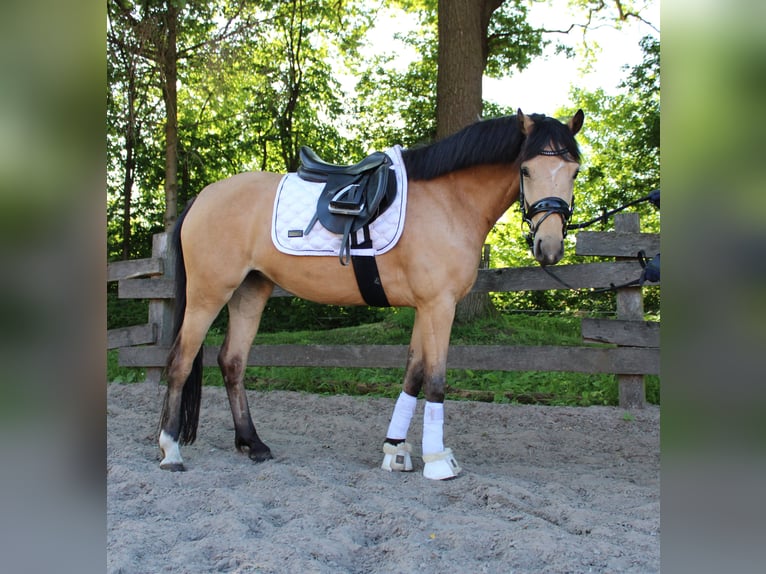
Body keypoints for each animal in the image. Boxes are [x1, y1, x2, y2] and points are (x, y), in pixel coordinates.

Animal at [159, 108, 584, 482]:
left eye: (575, 171)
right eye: (526, 170)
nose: (549, 247)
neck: (449, 200)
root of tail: (202, 198)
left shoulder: (425, 307)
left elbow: (413, 375)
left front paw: (396, 450)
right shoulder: (439, 306)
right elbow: (435, 380)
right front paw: (438, 461)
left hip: (250, 291)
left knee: (232, 362)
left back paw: (253, 444)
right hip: (208, 294)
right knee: (180, 361)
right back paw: (170, 450)